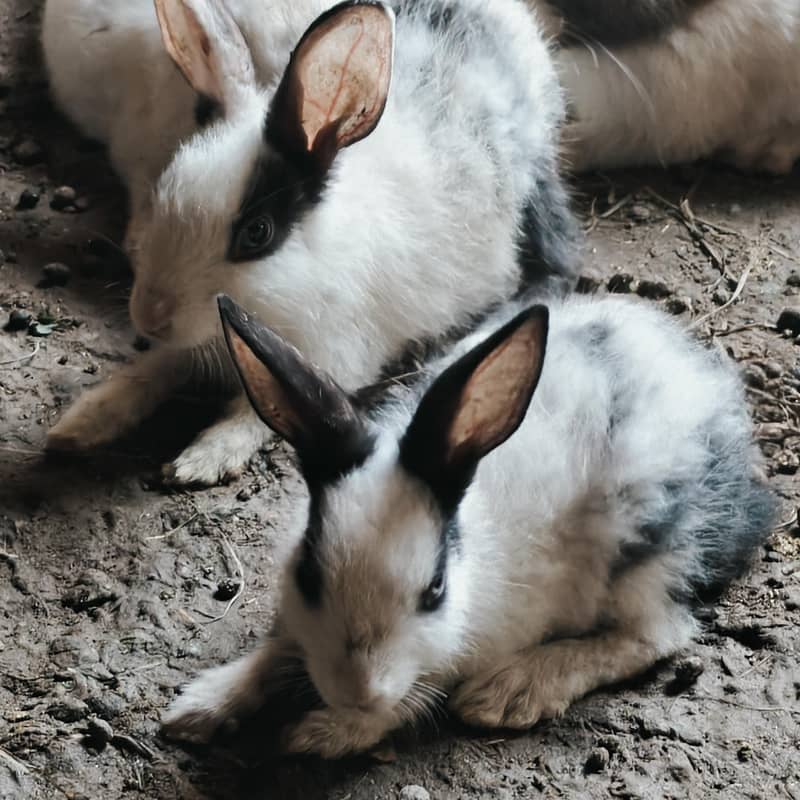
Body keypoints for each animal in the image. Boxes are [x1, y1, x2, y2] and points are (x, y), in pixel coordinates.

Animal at [43, 0, 579, 487]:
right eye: (165, 187)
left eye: (257, 233)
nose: (150, 316)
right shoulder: (192, 344)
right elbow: (152, 370)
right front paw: (80, 423)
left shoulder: (332, 357)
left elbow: (255, 414)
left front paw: (201, 461)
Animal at [161, 292, 776, 758]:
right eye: (309, 575)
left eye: (434, 591)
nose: (358, 692)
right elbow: (275, 652)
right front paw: (197, 707)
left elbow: (418, 694)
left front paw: (325, 734)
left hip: (645, 556)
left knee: (655, 634)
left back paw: (512, 690)